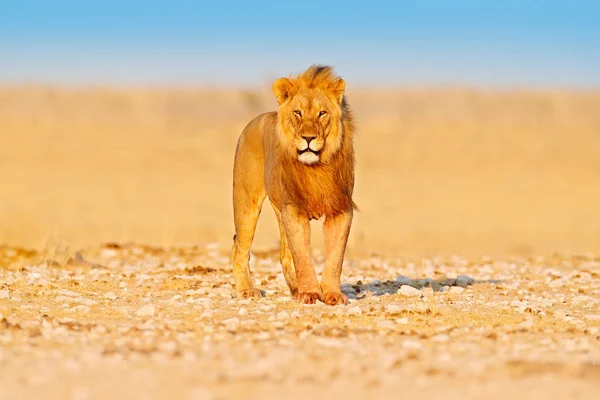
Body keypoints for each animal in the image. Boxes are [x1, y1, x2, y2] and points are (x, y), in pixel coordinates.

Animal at [230, 64, 354, 304]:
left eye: (322, 113)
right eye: (298, 112)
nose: (308, 138)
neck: (316, 167)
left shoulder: (340, 208)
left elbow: (336, 256)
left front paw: (332, 294)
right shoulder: (293, 209)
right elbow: (302, 255)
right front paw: (310, 293)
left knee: (284, 254)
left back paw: (295, 288)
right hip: (246, 204)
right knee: (239, 248)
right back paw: (246, 290)